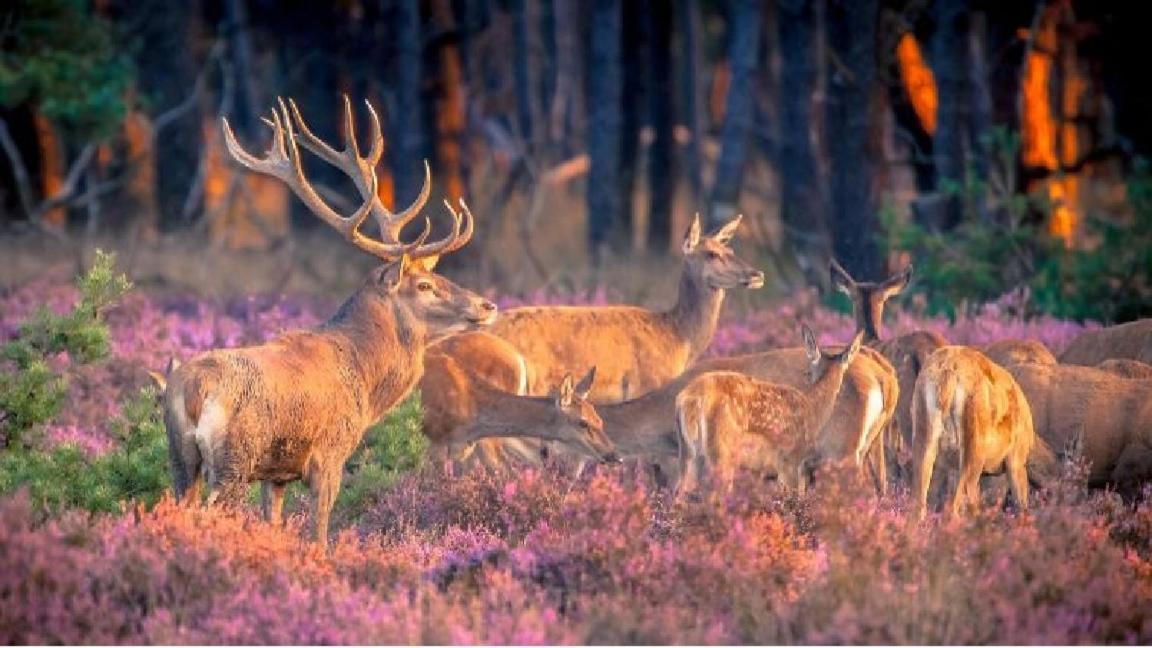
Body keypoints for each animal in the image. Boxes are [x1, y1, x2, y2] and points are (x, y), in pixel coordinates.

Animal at [158, 98, 495, 546]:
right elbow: (319, 531)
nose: (487, 305)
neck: (366, 377)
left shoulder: (276, 473)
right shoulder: (330, 452)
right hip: (233, 459)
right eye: (424, 285)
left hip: (179, 456)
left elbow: (274, 522)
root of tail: (194, 389)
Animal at [672, 325, 866, 491]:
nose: (806, 375)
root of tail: (689, 399)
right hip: (722, 452)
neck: (813, 409)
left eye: (810, 371)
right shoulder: (790, 459)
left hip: (687, 451)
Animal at [912, 345, 1041, 516]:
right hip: (974, 451)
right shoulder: (1016, 460)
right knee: (958, 504)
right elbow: (1021, 505)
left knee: (919, 504)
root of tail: (948, 372)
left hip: (925, 441)